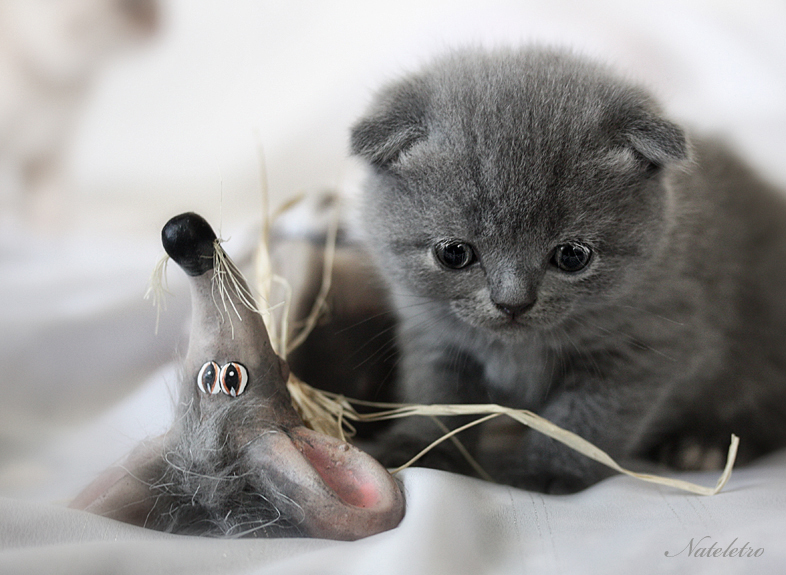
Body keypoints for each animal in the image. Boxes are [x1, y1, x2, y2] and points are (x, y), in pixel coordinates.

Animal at [352, 47, 784, 492]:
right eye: (454, 253)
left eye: (573, 256)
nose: (512, 302)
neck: (519, 348)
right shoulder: (435, 337)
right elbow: (436, 398)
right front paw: (420, 449)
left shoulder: (643, 346)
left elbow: (584, 419)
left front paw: (546, 470)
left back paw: (704, 446)